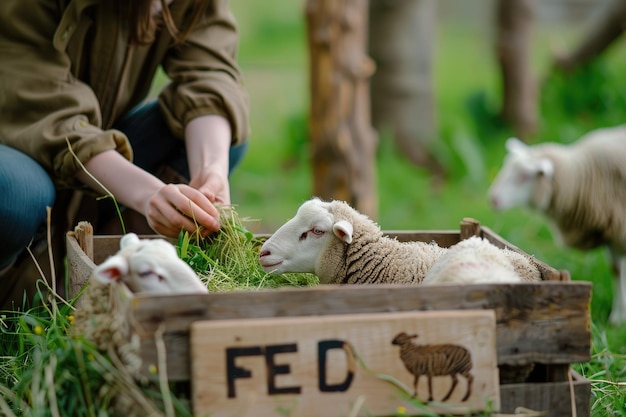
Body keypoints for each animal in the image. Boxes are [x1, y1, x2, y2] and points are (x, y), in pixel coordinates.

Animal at [486, 125, 624, 324]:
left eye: (524, 176)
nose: (493, 199)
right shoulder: (612, 231)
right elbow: (616, 270)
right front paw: (619, 317)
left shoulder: (617, 231)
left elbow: (617, 270)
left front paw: (618, 318)